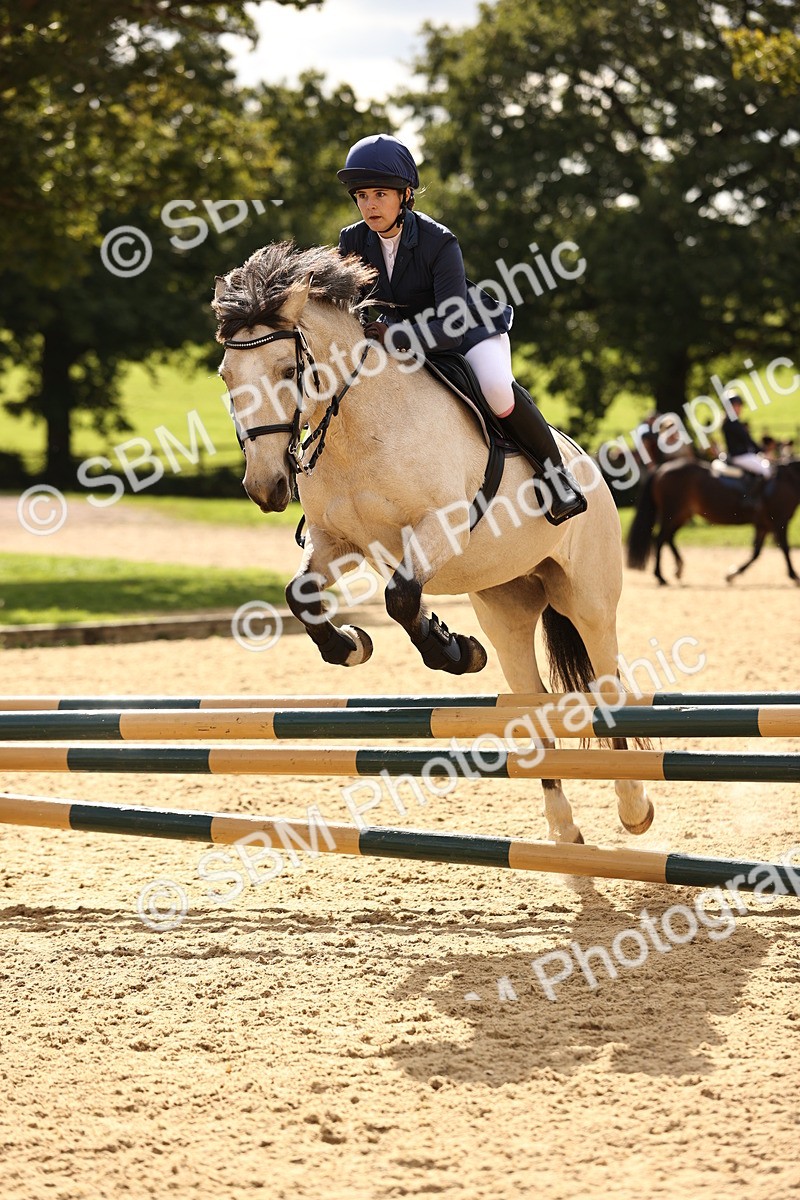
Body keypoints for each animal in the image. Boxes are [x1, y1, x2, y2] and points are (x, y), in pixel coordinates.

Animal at [212, 241, 652, 845]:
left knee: (607, 687)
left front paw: (451, 650)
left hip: (586, 598)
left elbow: (400, 599)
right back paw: (564, 830)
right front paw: (352, 645)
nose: (266, 487)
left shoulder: (439, 529)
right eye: (226, 375)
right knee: (533, 703)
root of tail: (587, 462)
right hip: (507, 606)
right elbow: (301, 595)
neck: (356, 427)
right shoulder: (338, 542)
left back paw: (634, 808)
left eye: (286, 370)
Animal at [627, 457, 800, 585]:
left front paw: (732, 574)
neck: (788, 479)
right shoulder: (780, 522)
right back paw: (660, 576)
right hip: (672, 513)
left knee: (668, 538)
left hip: (681, 515)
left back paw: (678, 569)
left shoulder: (763, 525)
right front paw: (794, 575)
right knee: (660, 539)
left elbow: (756, 553)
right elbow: (784, 548)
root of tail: (662, 468)